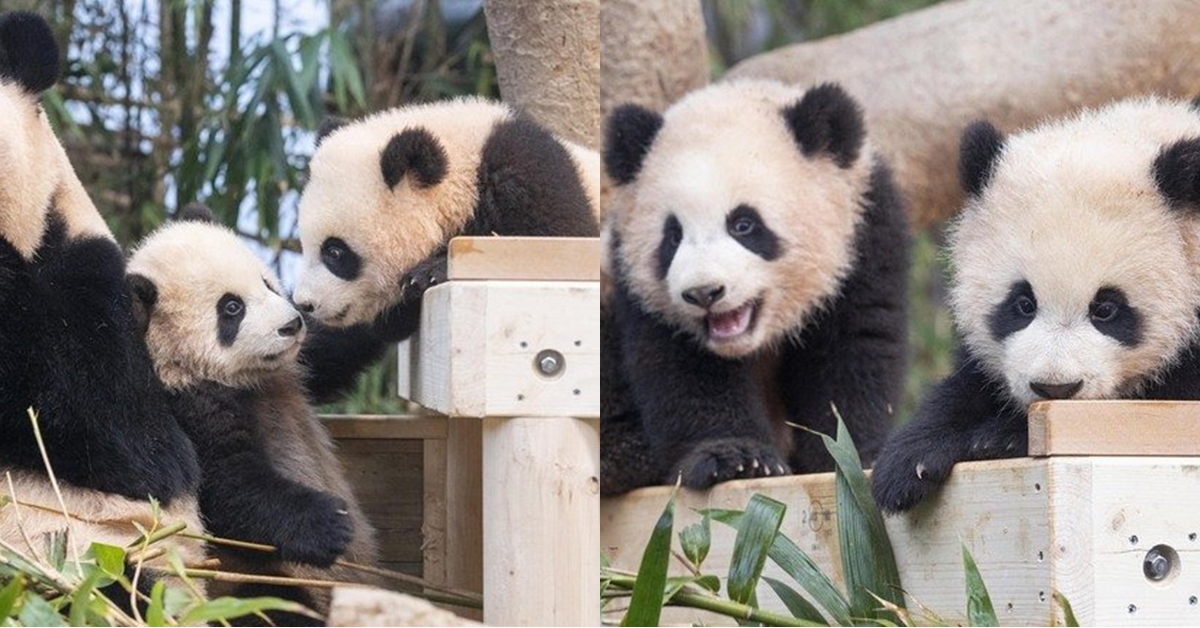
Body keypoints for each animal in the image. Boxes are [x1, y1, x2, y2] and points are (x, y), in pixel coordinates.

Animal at [129, 207, 376, 624]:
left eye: (268, 284)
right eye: (232, 308)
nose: (291, 324)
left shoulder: (298, 363)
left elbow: (336, 345)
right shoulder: (186, 408)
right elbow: (229, 485)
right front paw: (332, 523)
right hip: (250, 581)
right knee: (272, 604)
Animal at [289, 98, 600, 391]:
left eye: (334, 251)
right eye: (304, 245)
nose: (305, 304)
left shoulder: (531, 176)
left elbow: (555, 244)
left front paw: (428, 273)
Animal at [600, 79, 907, 497]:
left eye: (743, 224)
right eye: (672, 235)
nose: (704, 293)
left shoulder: (864, 241)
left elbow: (852, 353)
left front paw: (851, 453)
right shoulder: (638, 287)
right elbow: (686, 369)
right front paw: (737, 458)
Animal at [873, 96, 1200, 513]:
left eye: (1106, 309)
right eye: (1023, 304)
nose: (1054, 388)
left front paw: (1001, 437)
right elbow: (969, 383)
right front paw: (907, 462)